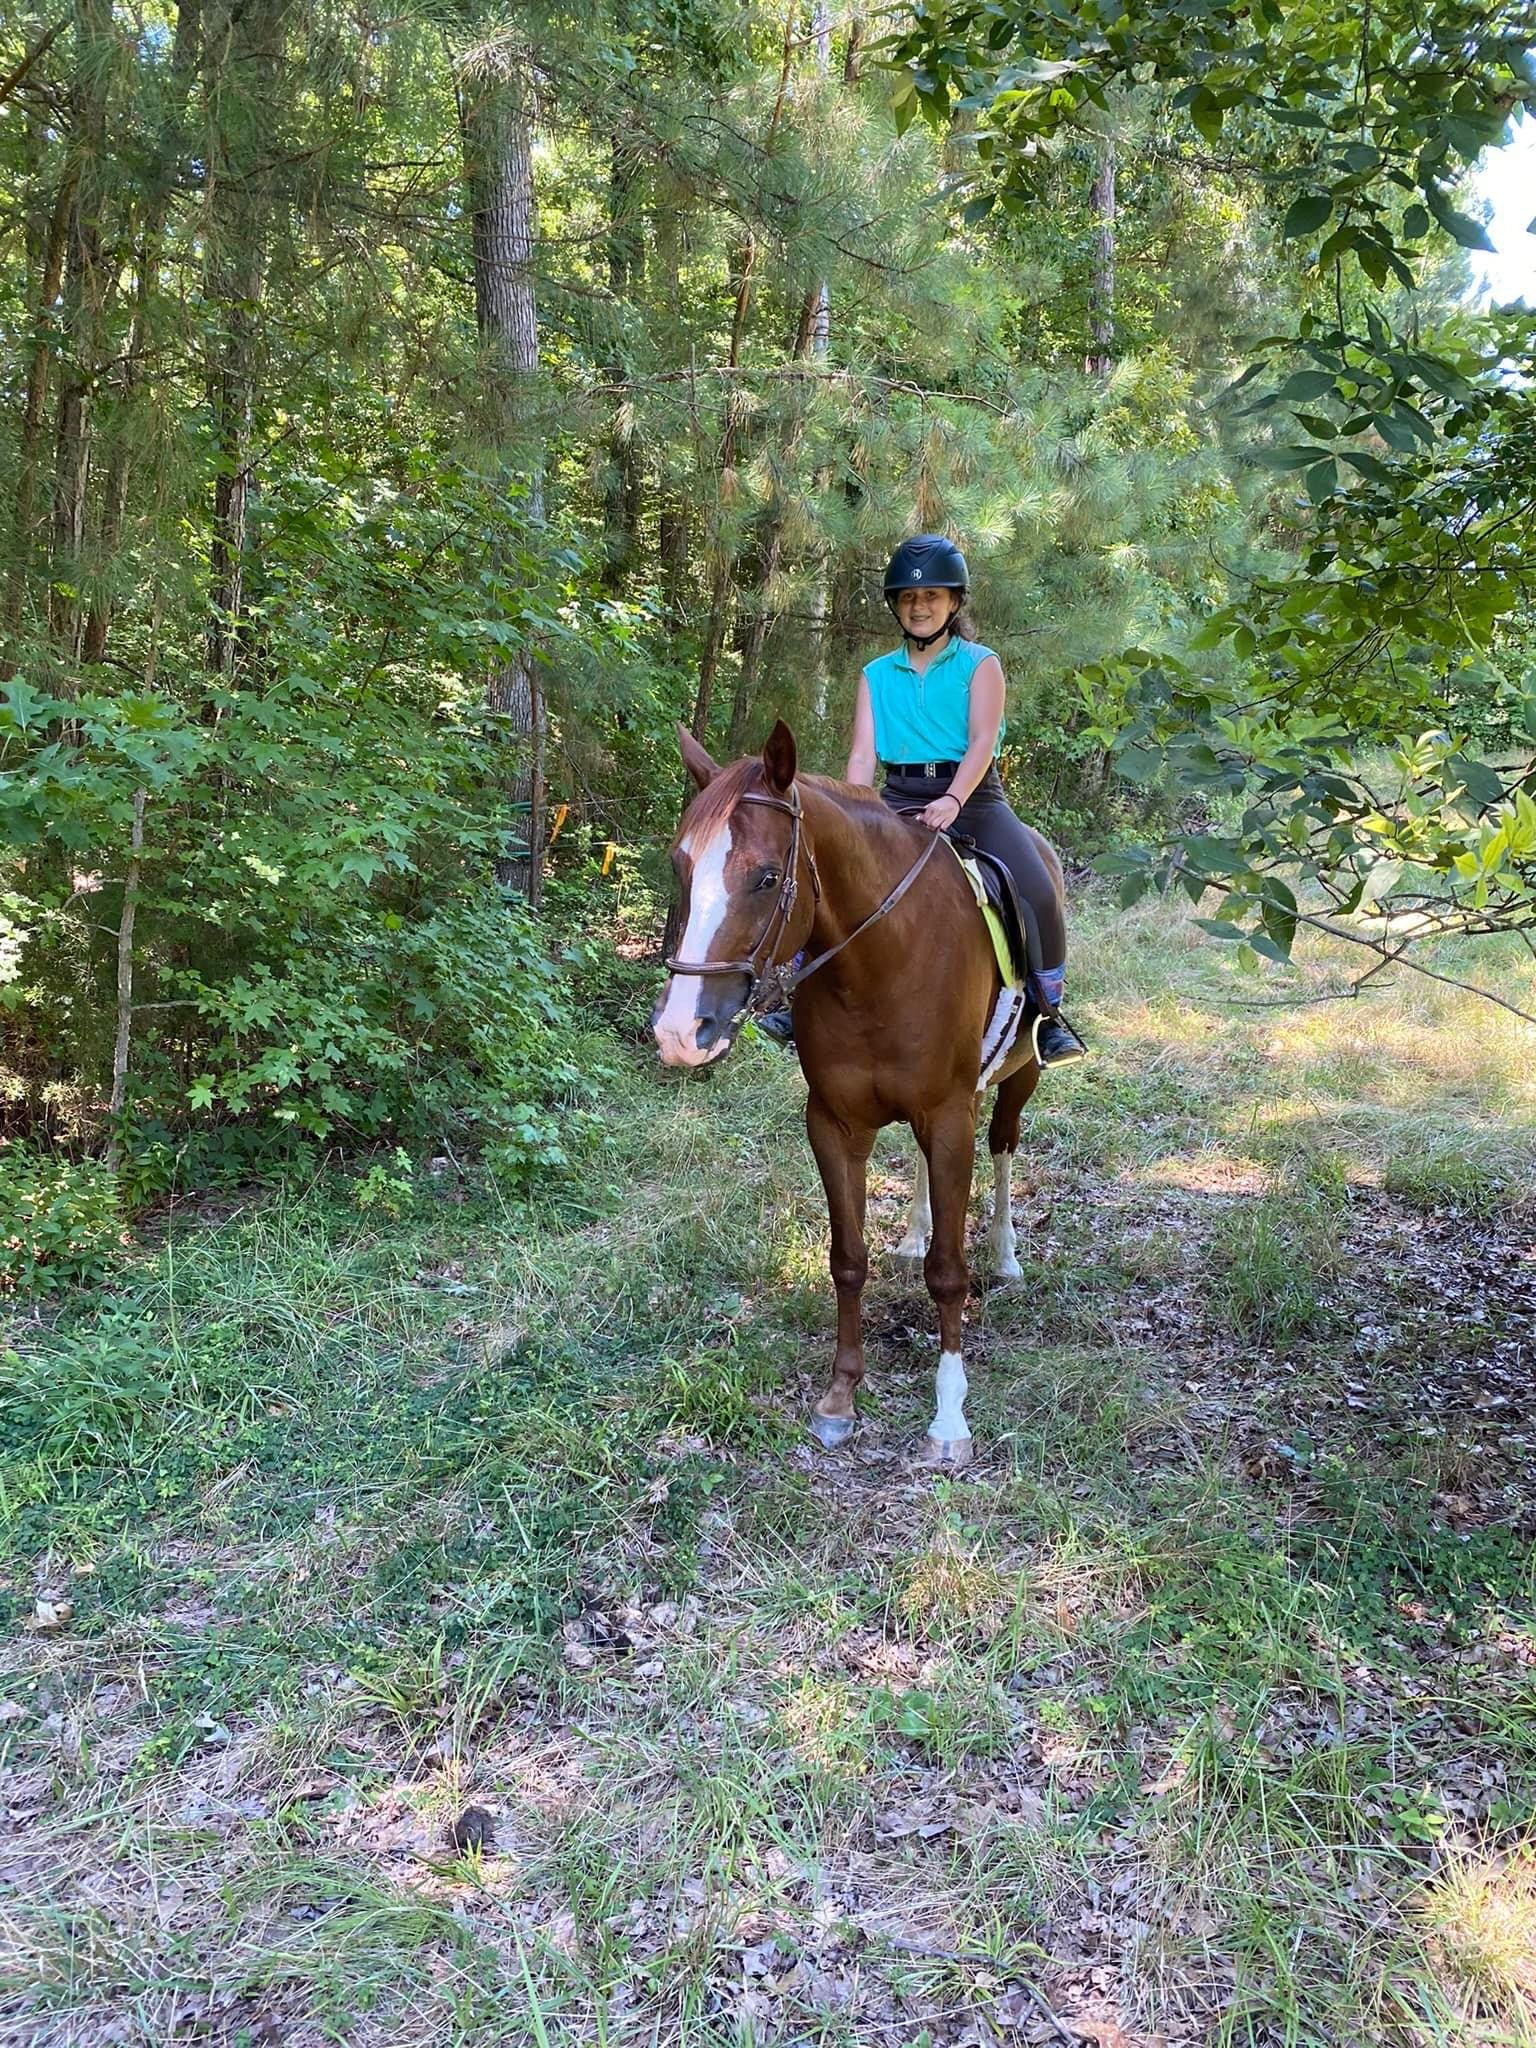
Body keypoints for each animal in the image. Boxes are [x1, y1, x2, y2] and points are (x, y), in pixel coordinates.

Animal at [651, 720, 1056, 1474]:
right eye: (681, 869)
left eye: (767, 876)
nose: (680, 1033)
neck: (884, 958)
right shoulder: (835, 1123)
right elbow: (847, 1259)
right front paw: (840, 1398)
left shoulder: (949, 1116)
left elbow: (948, 1273)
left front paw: (948, 1417)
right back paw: (917, 1232)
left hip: (1018, 1077)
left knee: (1004, 1148)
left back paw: (1007, 1255)